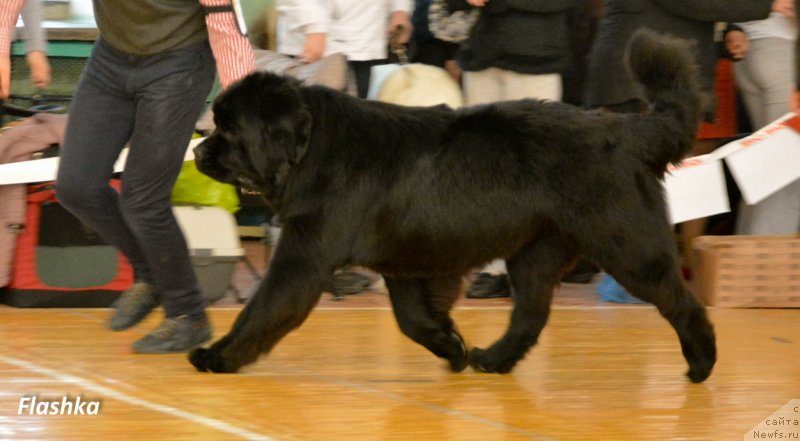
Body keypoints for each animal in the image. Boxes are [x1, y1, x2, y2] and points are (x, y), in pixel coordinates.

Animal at [192, 30, 720, 382]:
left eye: (229, 129)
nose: (198, 152)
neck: (312, 149)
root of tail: (626, 129)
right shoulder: (403, 263)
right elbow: (412, 320)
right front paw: (452, 347)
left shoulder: (304, 258)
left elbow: (263, 308)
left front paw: (218, 355)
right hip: (534, 252)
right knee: (531, 315)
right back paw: (494, 359)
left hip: (626, 245)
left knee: (680, 301)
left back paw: (702, 363)